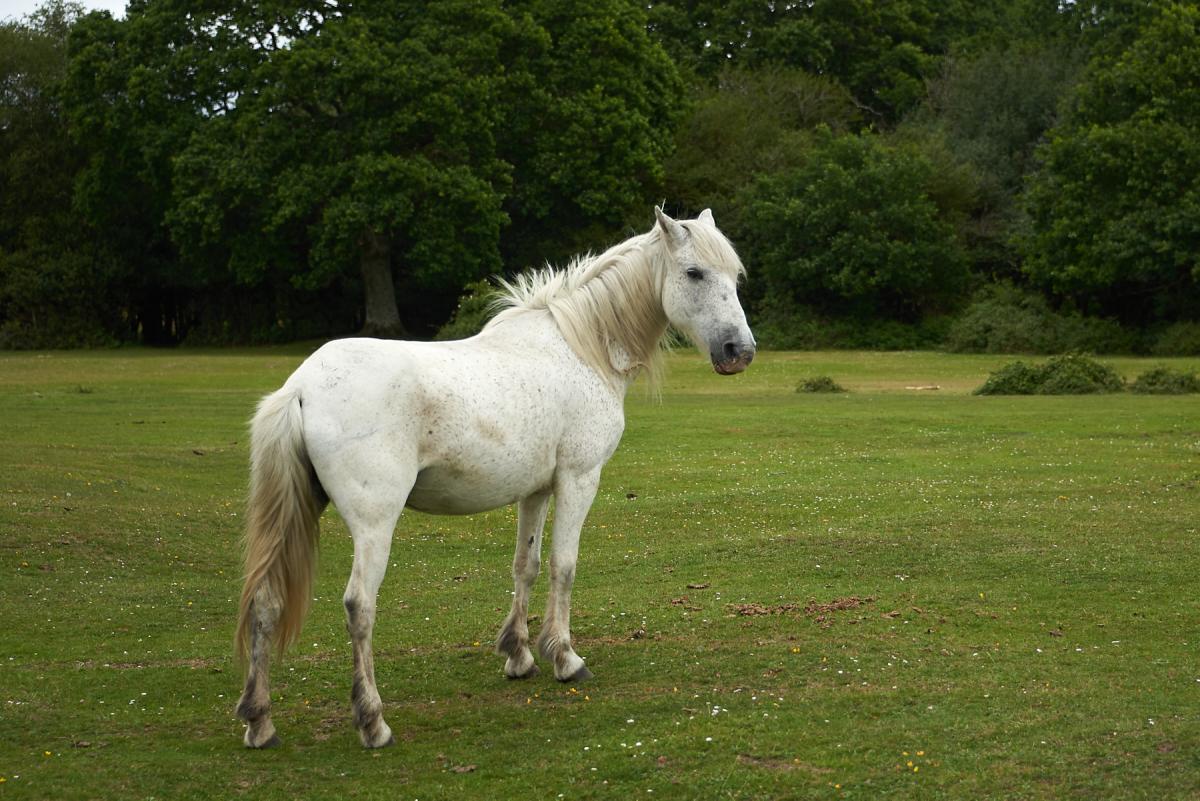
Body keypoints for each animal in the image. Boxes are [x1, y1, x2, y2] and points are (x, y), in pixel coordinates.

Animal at [233, 208, 756, 749]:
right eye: (694, 273)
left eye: (735, 276)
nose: (739, 350)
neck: (580, 347)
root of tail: (300, 387)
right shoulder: (579, 479)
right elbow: (563, 565)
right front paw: (566, 658)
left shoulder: (536, 490)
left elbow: (526, 565)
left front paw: (519, 654)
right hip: (375, 524)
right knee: (360, 606)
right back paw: (372, 721)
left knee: (266, 602)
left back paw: (260, 721)